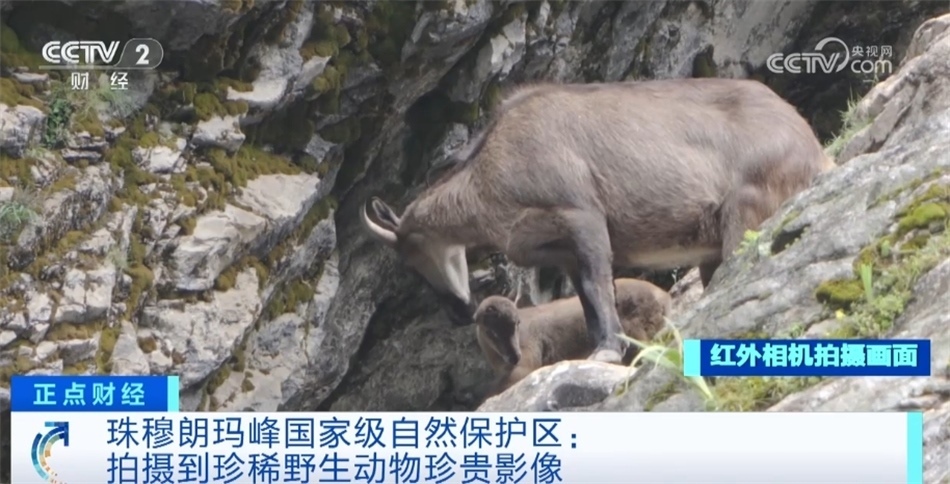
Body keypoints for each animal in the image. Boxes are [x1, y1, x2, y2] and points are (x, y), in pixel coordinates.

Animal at [361, 78, 834, 364]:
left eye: (411, 258)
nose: (459, 311)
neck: (491, 172)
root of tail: (811, 148)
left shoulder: (582, 216)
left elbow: (596, 285)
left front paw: (606, 350)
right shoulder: (560, 248)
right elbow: (587, 299)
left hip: (745, 210)